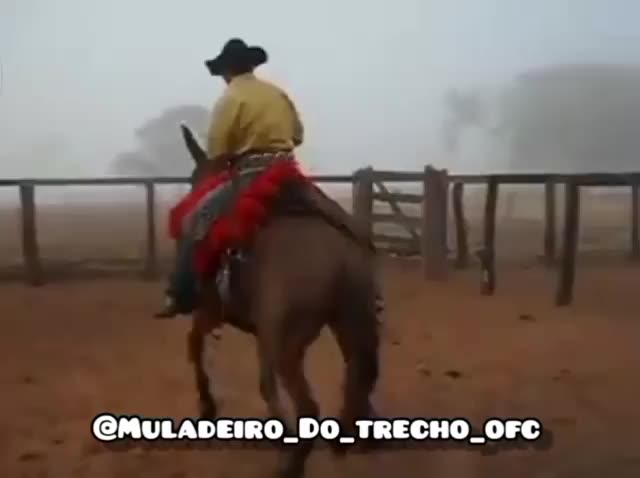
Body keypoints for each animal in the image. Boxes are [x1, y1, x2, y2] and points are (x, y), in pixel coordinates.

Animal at [177, 124, 380, 478]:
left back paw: (291, 461)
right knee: (359, 373)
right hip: (348, 322)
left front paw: (206, 406)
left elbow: (195, 343)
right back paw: (351, 437)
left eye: (193, 179)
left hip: (286, 343)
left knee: (302, 403)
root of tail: (339, 259)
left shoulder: (212, 309)